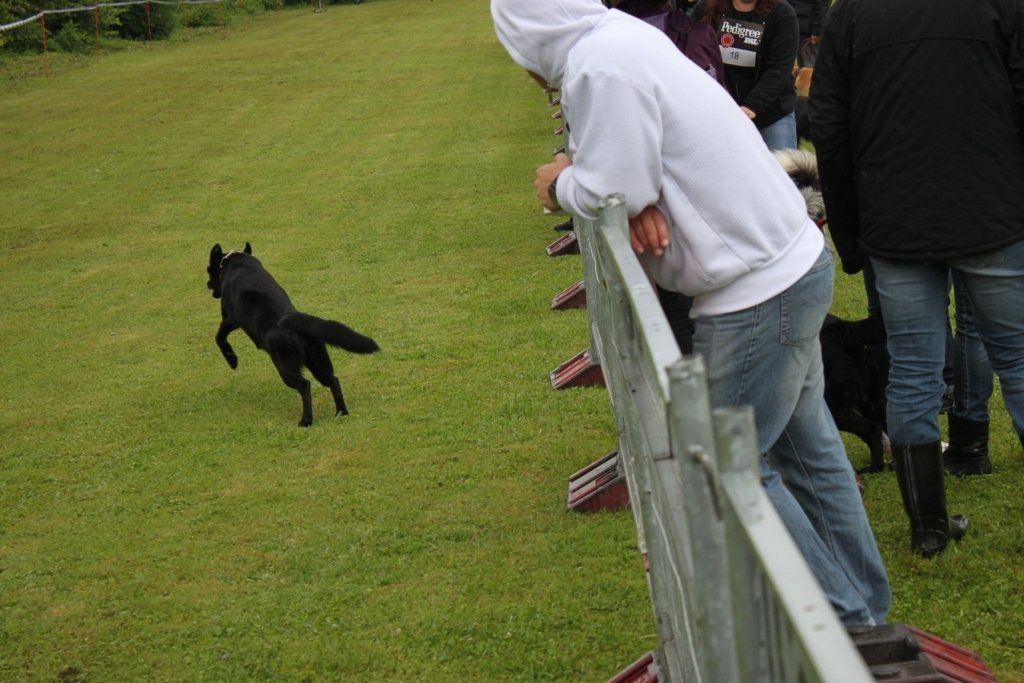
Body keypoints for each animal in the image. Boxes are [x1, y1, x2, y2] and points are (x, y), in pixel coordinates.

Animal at [206, 242, 379, 426]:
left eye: (208, 269)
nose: (208, 284)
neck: (233, 262)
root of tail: (294, 320)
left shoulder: (230, 319)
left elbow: (219, 338)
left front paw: (232, 360)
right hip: (318, 362)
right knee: (333, 380)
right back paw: (341, 412)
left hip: (285, 367)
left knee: (305, 385)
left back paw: (306, 420)